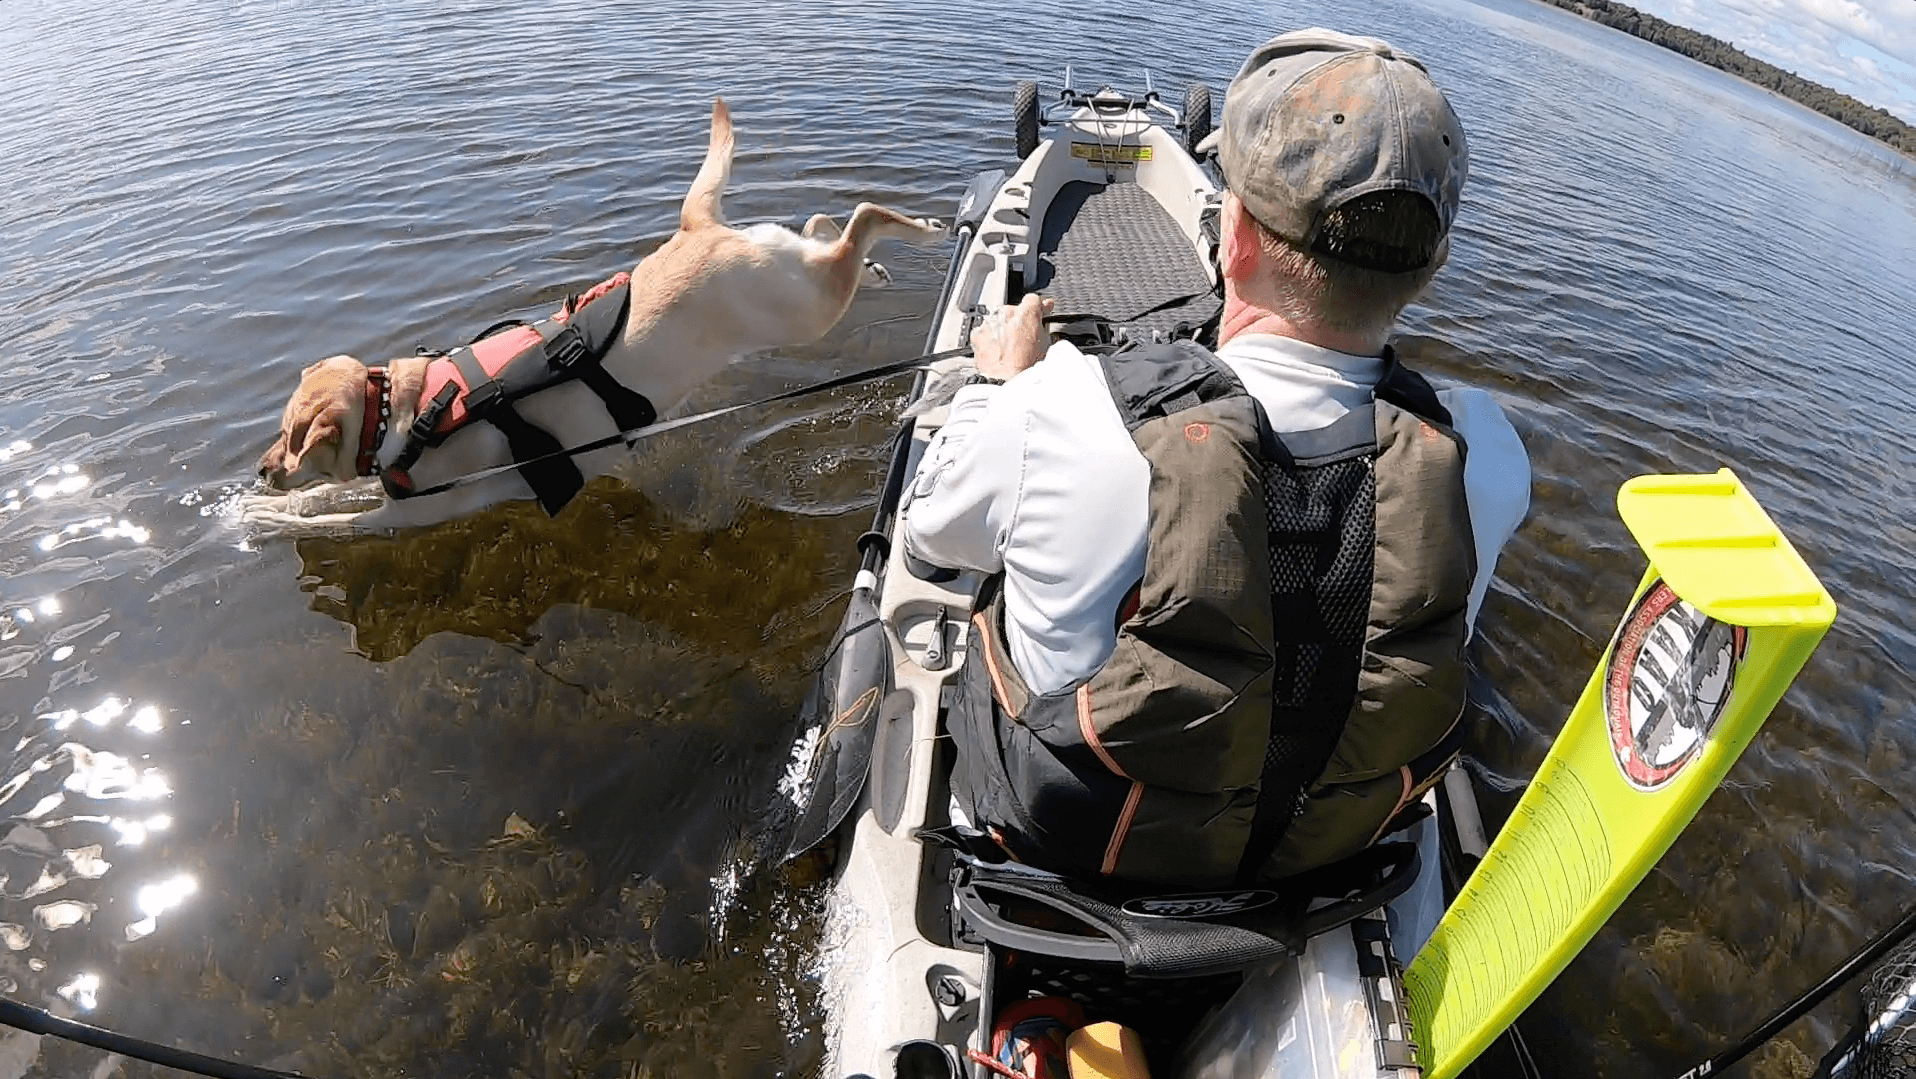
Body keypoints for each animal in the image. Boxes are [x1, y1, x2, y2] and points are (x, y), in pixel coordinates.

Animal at [250, 103, 938, 532]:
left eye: (288, 437)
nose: (260, 469)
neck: (399, 411)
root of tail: (697, 228)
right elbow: (331, 496)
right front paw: (267, 507)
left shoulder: (416, 514)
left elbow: (343, 521)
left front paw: (263, 520)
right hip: (794, 277)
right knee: (825, 228)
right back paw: (878, 264)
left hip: (805, 310)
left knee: (861, 219)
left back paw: (920, 230)